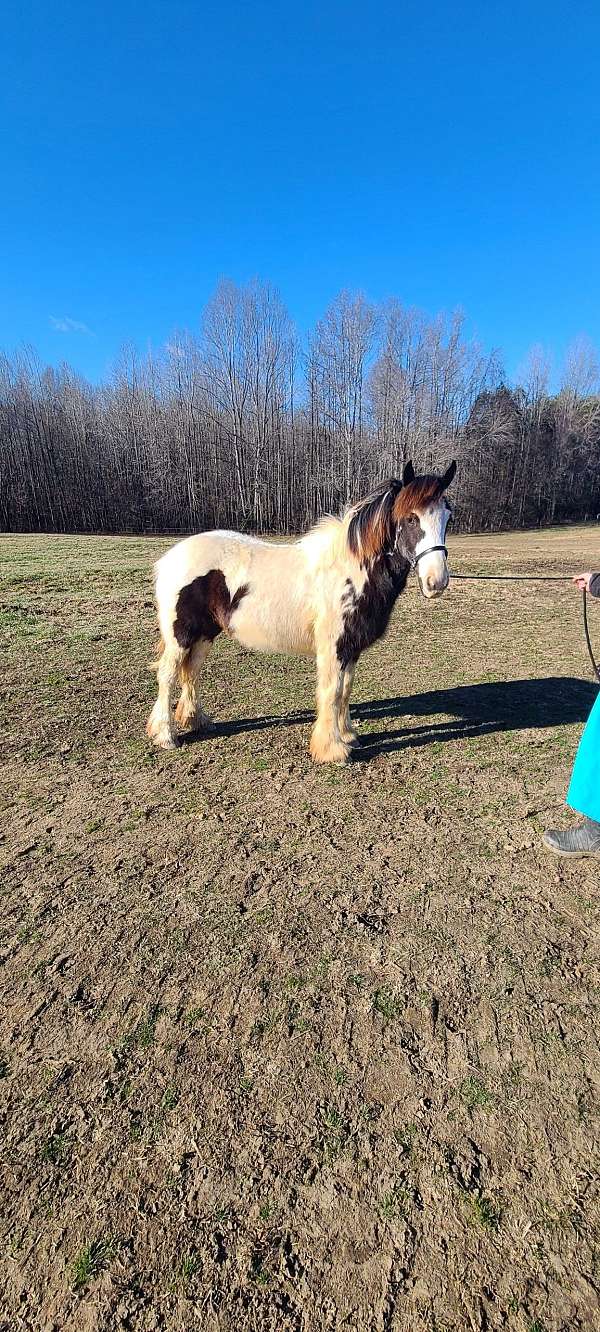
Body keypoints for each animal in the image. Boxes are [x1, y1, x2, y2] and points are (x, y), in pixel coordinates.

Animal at [147, 463, 456, 767]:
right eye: (411, 519)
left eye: (448, 517)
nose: (436, 582)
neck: (351, 570)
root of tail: (171, 557)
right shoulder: (333, 647)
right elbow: (331, 691)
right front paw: (332, 750)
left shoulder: (351, 647)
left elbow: (345, 690)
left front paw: (347, 736)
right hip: (181, 635)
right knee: (168, 674)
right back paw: (166, 736)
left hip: (205, 633)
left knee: (192, 671)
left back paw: (196, 721)